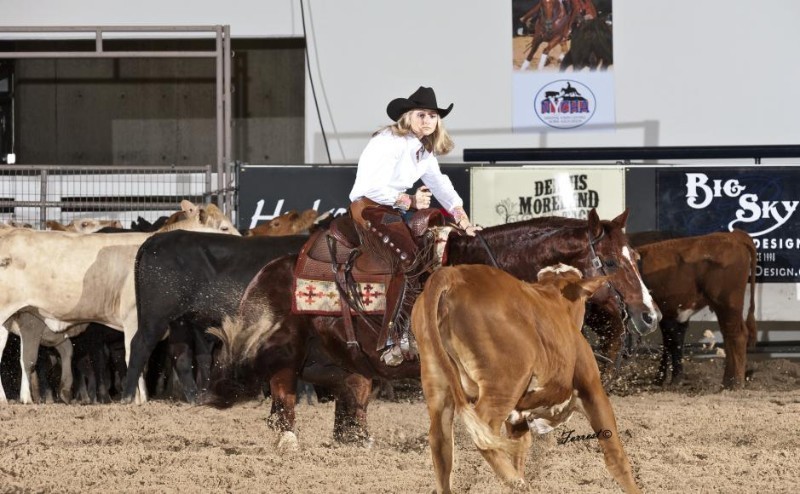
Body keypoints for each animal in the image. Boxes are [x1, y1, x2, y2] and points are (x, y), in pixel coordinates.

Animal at [125, 230, 310, 404]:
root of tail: (156, 238)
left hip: (179, 320)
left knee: (180, 354)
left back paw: (195, 399)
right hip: (156, 315)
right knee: (139, 346)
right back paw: (127, 397)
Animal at [205, 208, 656, 448]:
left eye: (636, 256)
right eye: (610, 262)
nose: (650, 315)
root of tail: (277, 266)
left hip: (345, 361)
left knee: (348, 397)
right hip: (288, 349)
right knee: (283, 393)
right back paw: (288, 441)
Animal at [410, 264, 640, 494]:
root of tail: (452, 274)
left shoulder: (518, 415)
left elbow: (519, 450)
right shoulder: (592, 390)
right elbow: (616, 456)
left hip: (436, 382)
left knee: (440, 441)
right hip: (504, 384)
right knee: (483, 431)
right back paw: (515, 481)